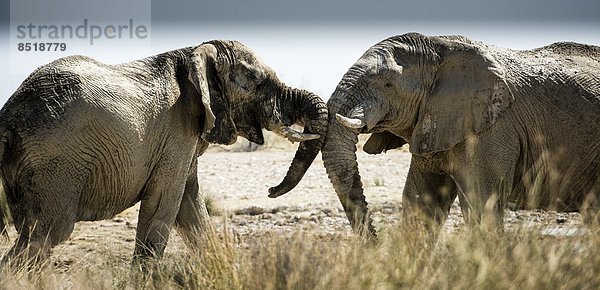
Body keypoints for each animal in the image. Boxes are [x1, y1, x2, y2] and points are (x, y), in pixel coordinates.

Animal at [0, 39, 328, 264]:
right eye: (259, 83)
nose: (270, 190)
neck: (196, 51)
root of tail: (8, 115)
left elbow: (190, 204)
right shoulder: (175, 131)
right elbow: (165, 200)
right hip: (55, 163)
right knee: (48, 232)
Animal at [282, 31, 600, 240]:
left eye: (387, 84)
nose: (374, 244)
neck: (442, 48)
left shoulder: (493, 129)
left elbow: (481, 203)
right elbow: (421, 203)